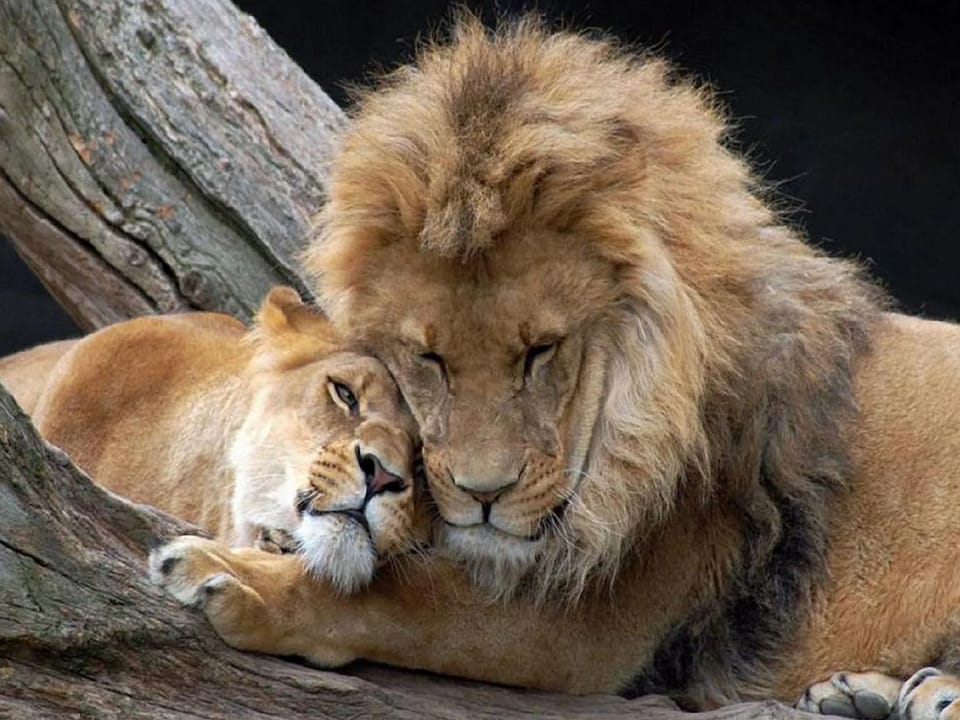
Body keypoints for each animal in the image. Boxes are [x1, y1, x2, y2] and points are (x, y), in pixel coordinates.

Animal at [150, 15, 960, 720]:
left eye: (541, 351)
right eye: (430, 358)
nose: (484, 496)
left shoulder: (589, 620)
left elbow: (390, 598)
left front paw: (226, 575)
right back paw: (864, 693)